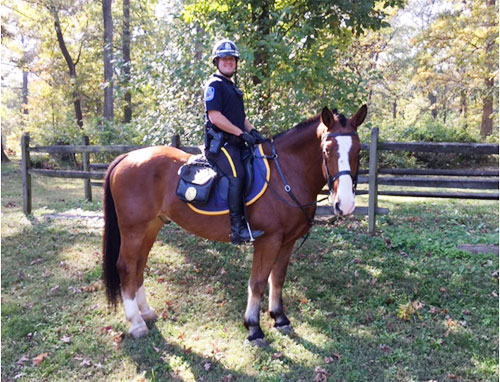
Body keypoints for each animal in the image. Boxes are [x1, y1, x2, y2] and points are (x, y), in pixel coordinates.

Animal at [101, 103, 368, 344]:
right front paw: (254, 328)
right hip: (133, 230)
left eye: (358, 151)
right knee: (126, 267)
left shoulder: (287, 241)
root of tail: (127, 156)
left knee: (139, 267)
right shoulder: (268, 240)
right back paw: (136, 323)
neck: (285, 172)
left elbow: (278, 278)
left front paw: (279, 318)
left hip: (151, 227)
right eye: (327, 150)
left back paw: (146, 313)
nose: (345, 204)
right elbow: (258, 282)